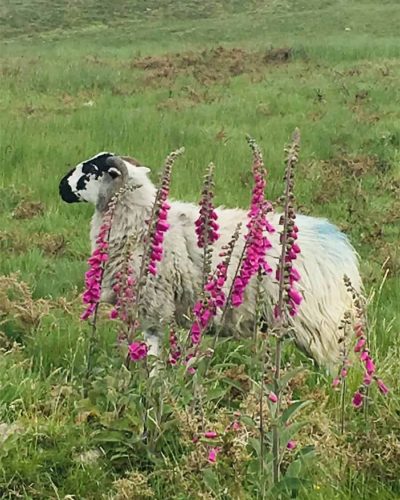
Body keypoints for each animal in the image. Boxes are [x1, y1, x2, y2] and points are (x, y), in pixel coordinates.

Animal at [59, 151, 362, 368]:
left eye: (89, 171)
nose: (61, 186)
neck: (139, 219)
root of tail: (338, 245)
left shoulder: (153, 304)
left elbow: (153, 352)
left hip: (318, 325)